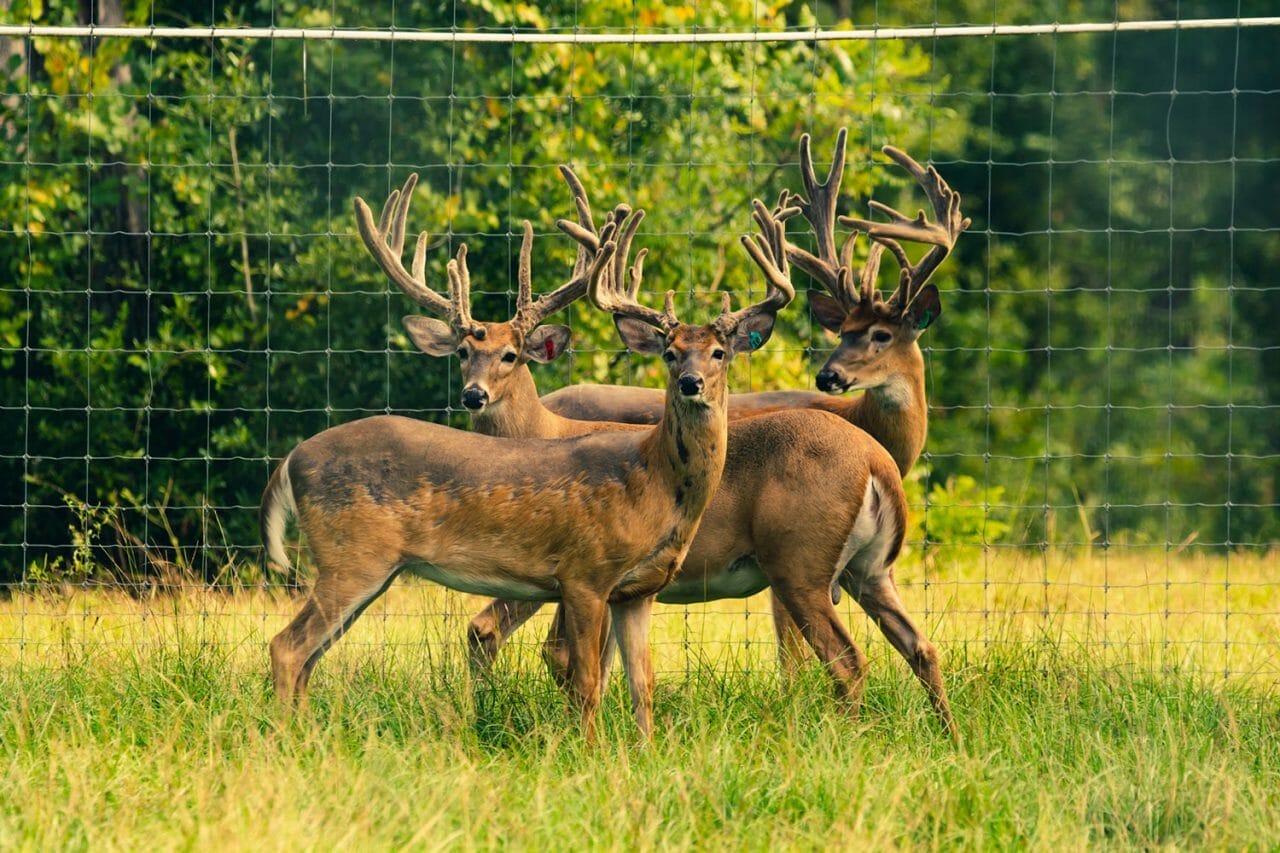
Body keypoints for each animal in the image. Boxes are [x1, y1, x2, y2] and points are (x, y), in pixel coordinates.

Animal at [262, 188, 788, 737]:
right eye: (669, 352)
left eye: (720, 352)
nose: (691, 383)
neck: (654, 479)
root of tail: (291, 459)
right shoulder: (584, 573)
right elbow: (586, 682)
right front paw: (590, 750)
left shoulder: (637, 591)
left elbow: (642, 686)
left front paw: (643, 750)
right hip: (352, 557)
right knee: (287, 647)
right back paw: (287, 738)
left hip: (368, 567)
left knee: (308, 657)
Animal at [355, 171, 957, 732]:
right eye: (461, 352)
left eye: (511, 355)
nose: (472, 394)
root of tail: (878, 462)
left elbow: (571, 659)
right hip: (867, 569)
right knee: (919, 647)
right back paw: (946, 734)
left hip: (799, 559)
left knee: (846, 659)